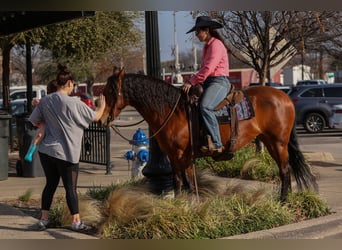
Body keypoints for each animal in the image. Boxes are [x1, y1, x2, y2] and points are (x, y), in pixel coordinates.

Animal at [99, 69, 318, 202]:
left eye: (110, 90)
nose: (102, 119)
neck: (173, 111)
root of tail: (284, 96)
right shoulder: (173, 157)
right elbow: (180, 182)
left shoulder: (184, 155)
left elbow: (187, 182)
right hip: (269, 141)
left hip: (278, 142)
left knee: (284, 170)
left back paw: (283, 200)